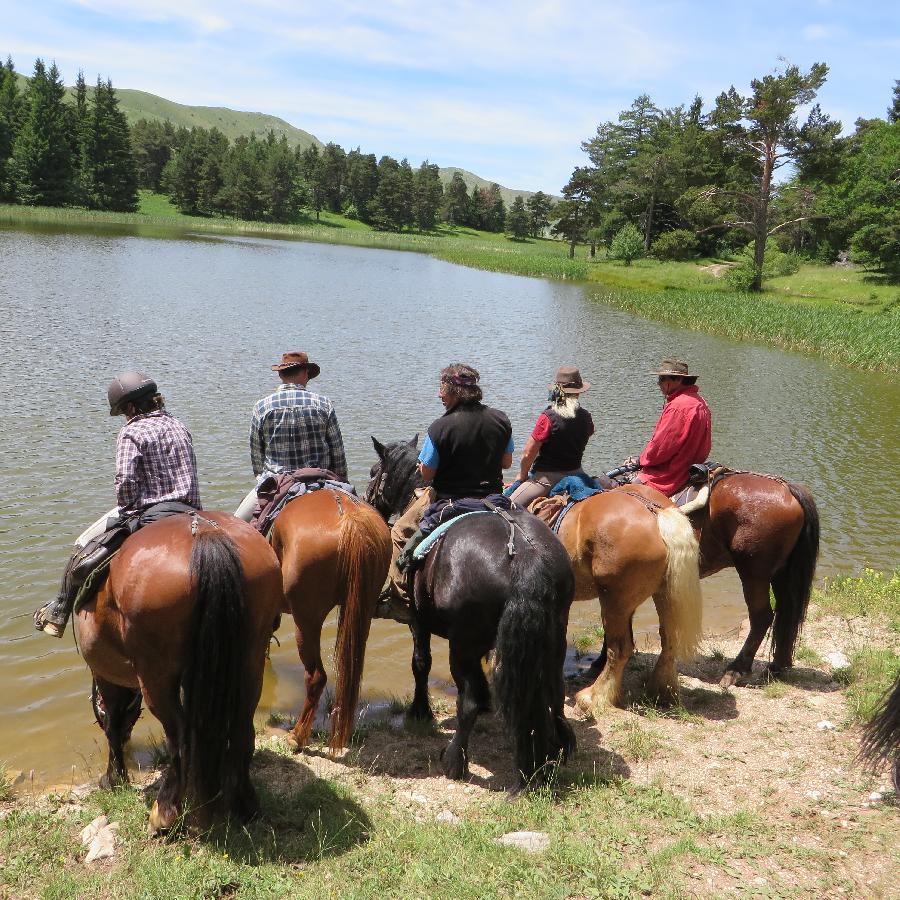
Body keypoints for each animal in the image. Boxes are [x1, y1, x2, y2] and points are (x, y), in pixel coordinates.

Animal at [77, 510, 284, 832]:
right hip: (251, 661)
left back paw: (164, 814)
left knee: (179, 738)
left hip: (156, 678)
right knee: (241, 729)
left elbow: (111, 722)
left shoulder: (106, 674)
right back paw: (245, 805)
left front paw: (113, 779)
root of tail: (206, 534)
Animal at [368, 438, 572, 788]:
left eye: (373, 471)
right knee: (552, 688)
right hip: (553, 634)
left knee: (469, 701)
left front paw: (420, 711)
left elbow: (420, 664)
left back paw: (455, 761)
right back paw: (556, 747)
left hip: (462, 644)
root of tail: (525, 556)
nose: (369, 502)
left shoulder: (418, 622)